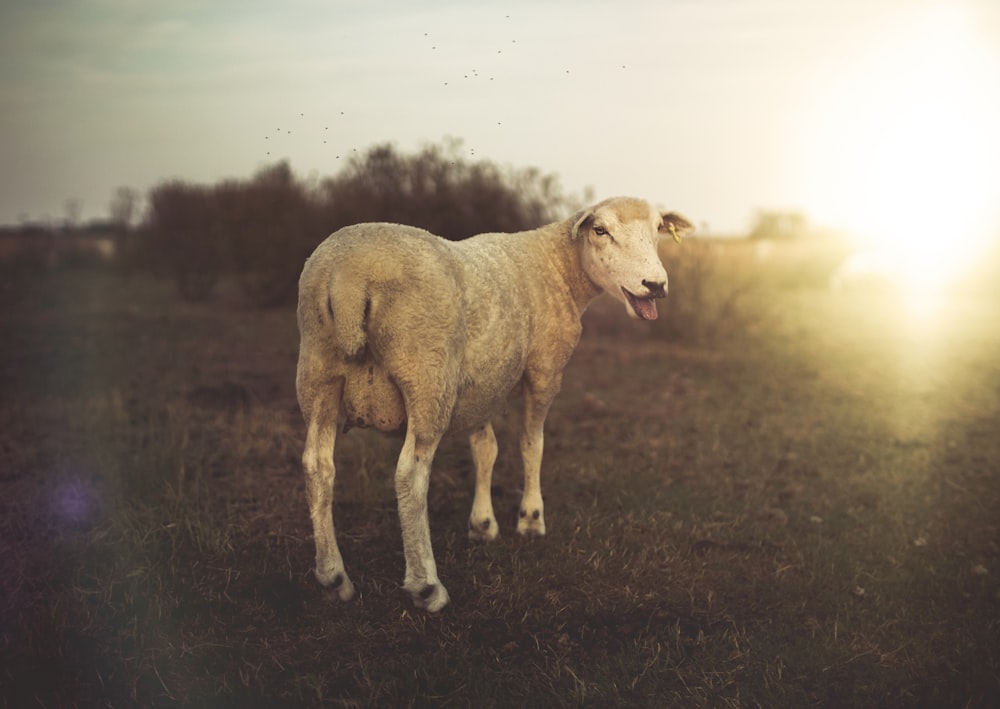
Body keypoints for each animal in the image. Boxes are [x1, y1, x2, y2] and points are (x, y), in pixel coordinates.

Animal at [292, 196, 692, 612]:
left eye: (658, 229)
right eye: (600, 230)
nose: (655, 285)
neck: (557, 267)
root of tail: (350, 278)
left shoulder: (481, 382)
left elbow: (485, 448)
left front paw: (483, 524)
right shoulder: (544, 370)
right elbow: (532, 445)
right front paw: (531, 519)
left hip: (318, 371)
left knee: (318, 466)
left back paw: (333, 577)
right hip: (427, 376)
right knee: (410, 476)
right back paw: (426, 586)